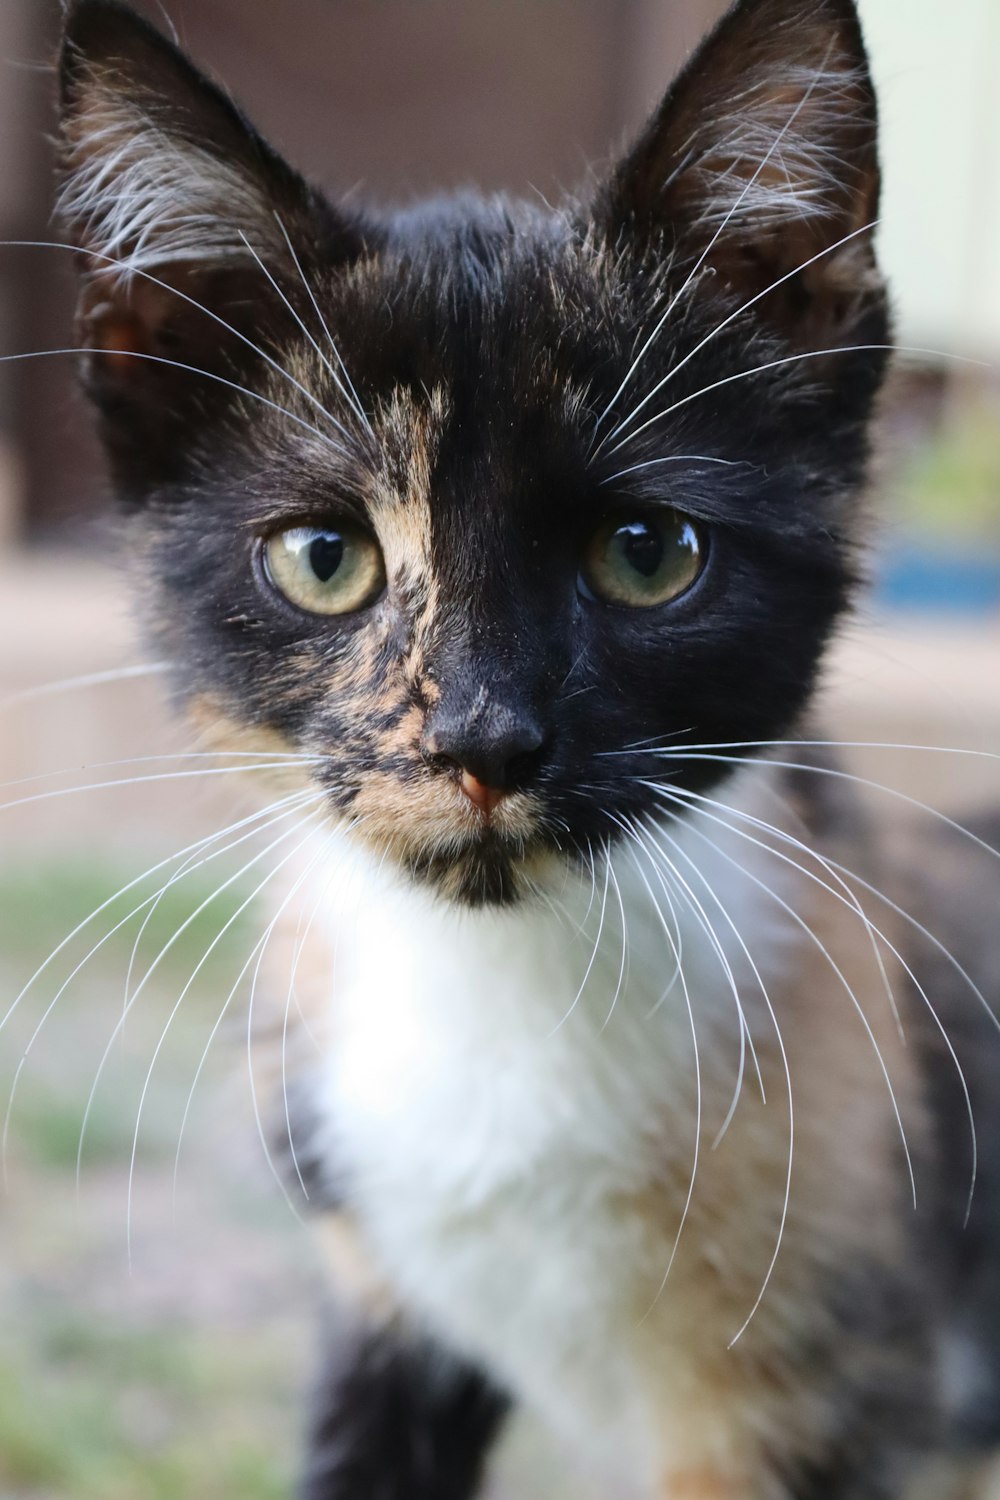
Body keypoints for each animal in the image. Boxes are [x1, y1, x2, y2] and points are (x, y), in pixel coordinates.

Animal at [56, 0, 1000, 1494]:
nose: (483, 736)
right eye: (324, 559)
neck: (504, 983)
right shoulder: (380, 1303)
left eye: (648, 552)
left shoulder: (835, 1381)